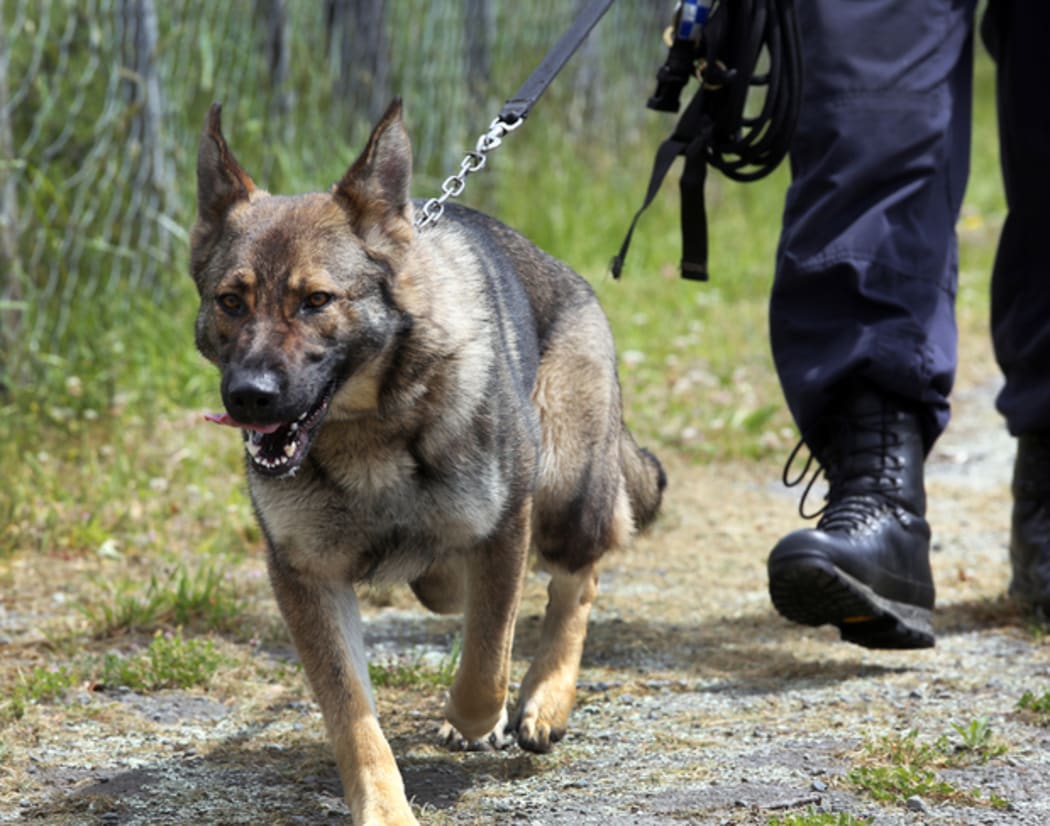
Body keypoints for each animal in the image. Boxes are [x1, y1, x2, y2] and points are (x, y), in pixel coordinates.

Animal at [188, 100, 663, 822]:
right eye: (231, 301)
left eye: (316, 301)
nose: (249, 397)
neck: (368, 434)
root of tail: (567, 273)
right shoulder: (307, 578)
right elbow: (352, 716)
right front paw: (383, 807)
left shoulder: (504, 527)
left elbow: (486, 666)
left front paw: (480, 717)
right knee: (451, 588)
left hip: (563, 491)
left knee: (576, 582)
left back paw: (546, 697)